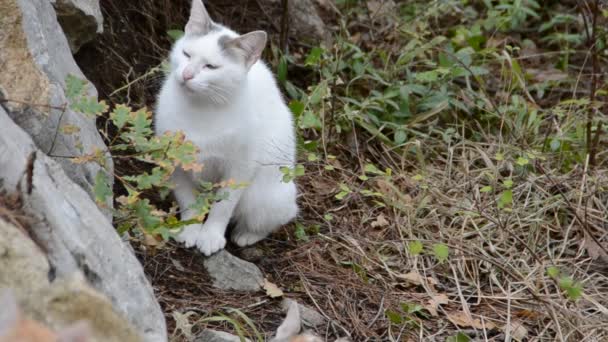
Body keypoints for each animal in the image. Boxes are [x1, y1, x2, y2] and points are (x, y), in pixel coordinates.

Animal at [156, 0, 298, 256]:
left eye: (211, 66)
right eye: (186, 54)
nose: (187, 74)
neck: (200, 109)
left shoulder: (239, 168)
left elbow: (223, 206)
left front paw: (210, 235)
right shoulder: (175, 162)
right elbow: (187, 199)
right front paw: (191, 228)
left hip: (264, 196)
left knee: (277, 217)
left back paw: (246, 235)